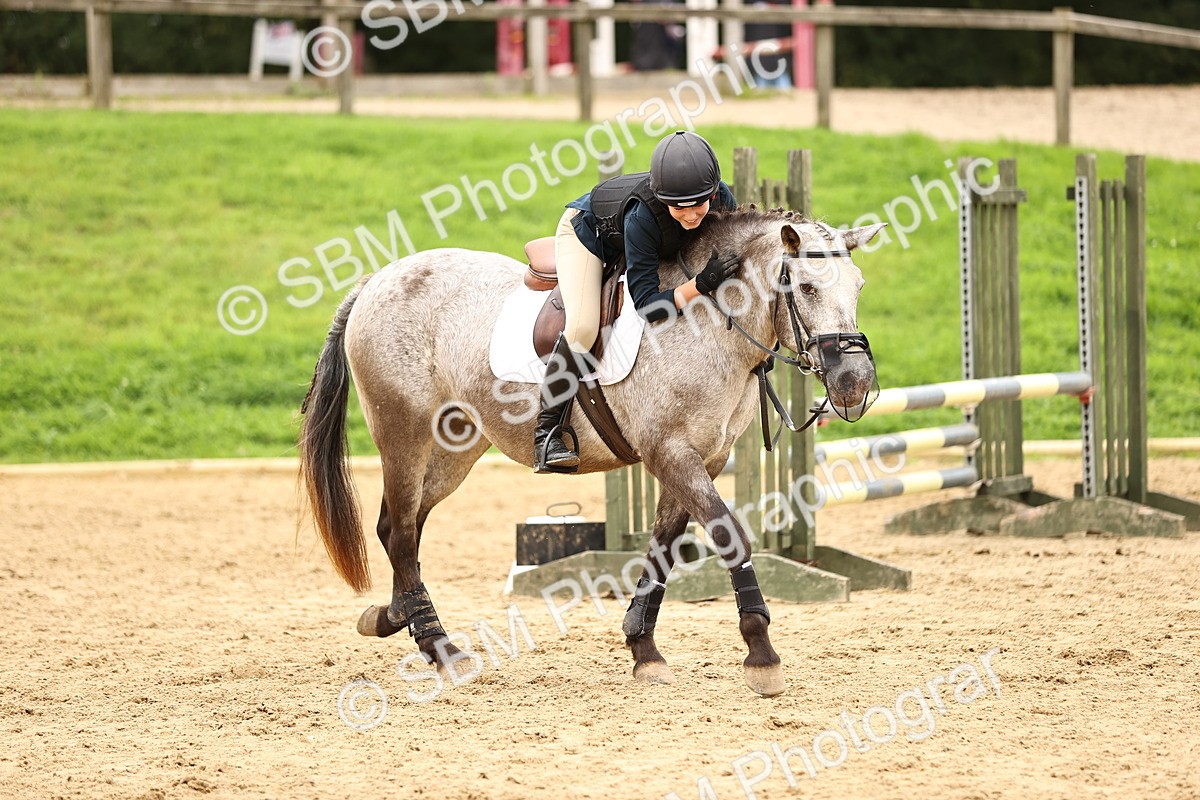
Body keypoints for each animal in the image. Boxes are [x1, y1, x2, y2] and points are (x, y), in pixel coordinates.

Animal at [299, 207, 884, 697]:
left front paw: (644, 651)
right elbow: (729, 536)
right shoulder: (671, 453)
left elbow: (664, 547)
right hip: (406, 435)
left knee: (400, 528)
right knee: (400, 533)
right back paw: (441, 649)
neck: (709, 325)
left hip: (454, 448)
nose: (854, 385)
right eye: (805, 287)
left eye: (859, 287)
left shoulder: (703, 459)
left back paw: (392, 617)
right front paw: (762, 656)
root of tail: (378, 280)